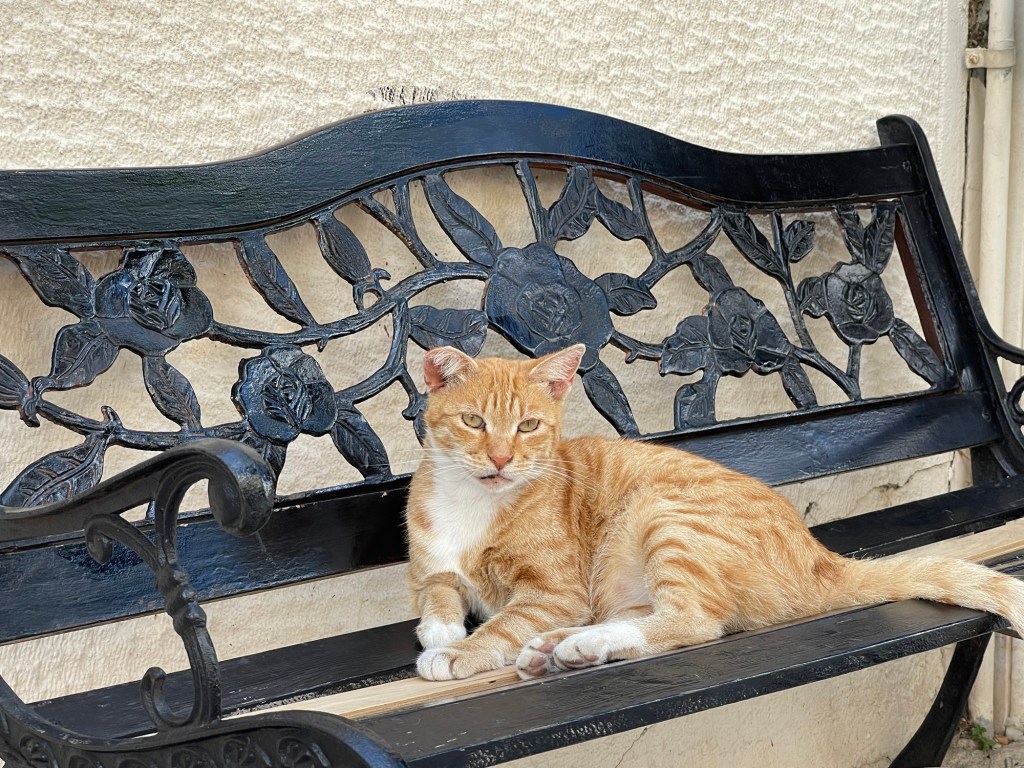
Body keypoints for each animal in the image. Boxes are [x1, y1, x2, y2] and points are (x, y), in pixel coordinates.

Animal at [405, 343, 1024, 681]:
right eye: (474, 422)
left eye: (529, 426)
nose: (501, 458)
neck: (474, 500)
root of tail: (822, 558)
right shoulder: (432, 570)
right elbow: (438, 592)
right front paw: (440, 631)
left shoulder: (554, 592)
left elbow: (501, 624)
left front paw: (457, 652)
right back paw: (559, 650)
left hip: (667, 516)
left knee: (695, 623)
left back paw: (578, 646)